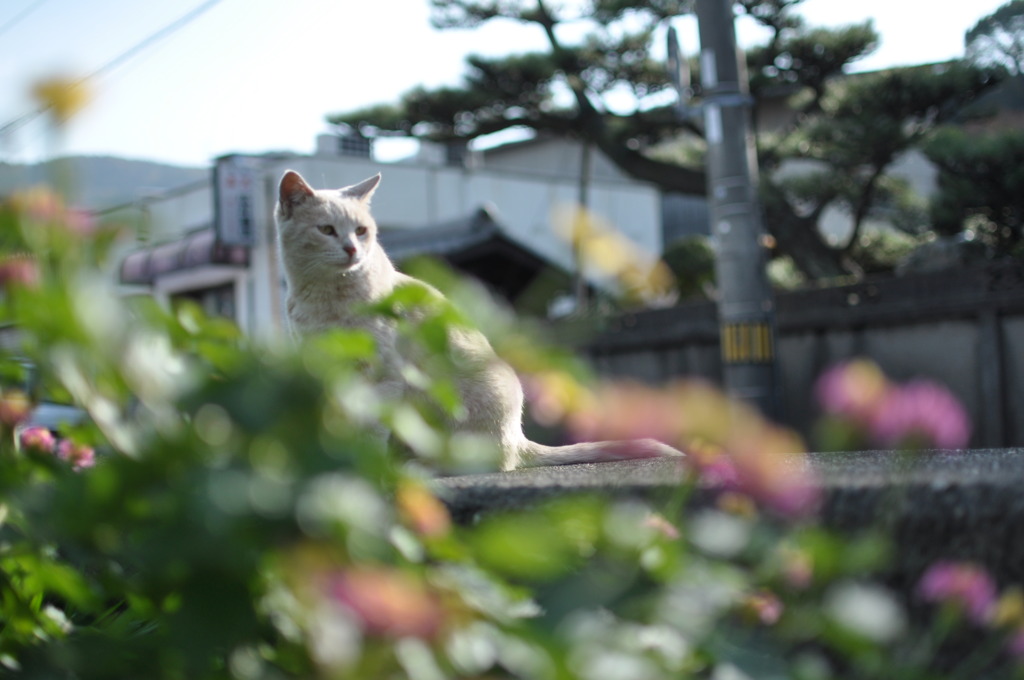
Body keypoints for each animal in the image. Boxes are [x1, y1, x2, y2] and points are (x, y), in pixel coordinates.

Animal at [276, 168, 684, 473]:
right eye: (327, 230)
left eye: (361, 231)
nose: (352, 249)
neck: (325, 299)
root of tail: (517, 436)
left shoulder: (384, 377)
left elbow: (372, 429)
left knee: (483, 463)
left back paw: (417, 469)